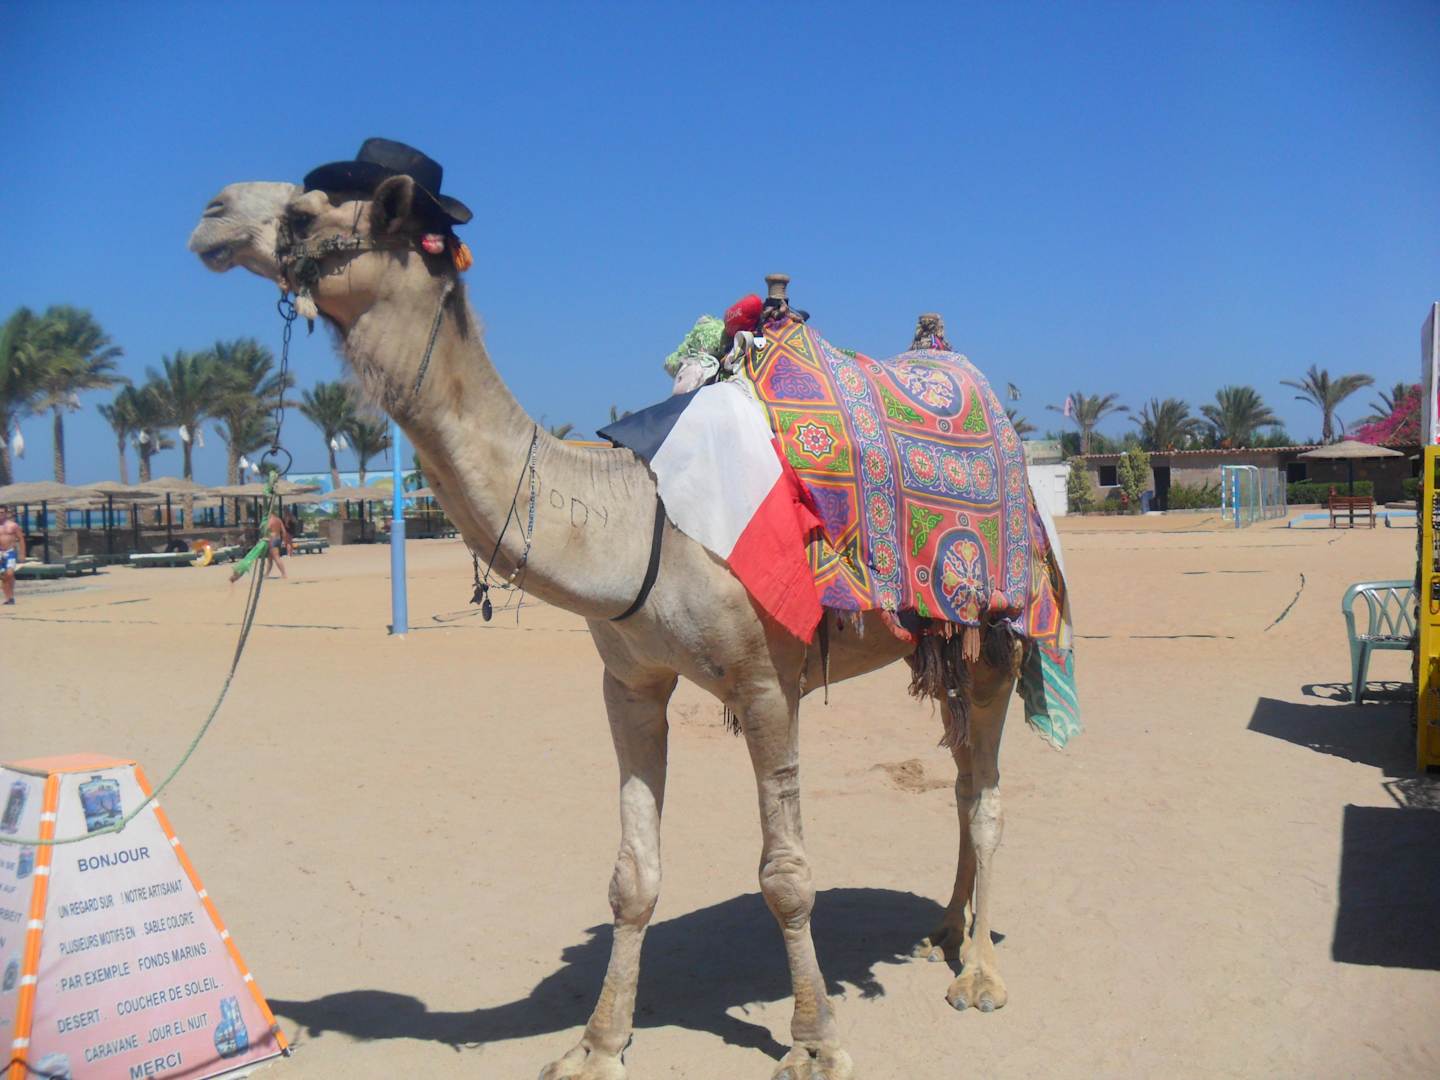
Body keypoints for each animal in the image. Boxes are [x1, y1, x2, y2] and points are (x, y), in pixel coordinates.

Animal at [189, 175, 1032, 1080]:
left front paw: (813, 1042)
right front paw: (597, 1044)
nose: (213, 211)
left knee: (986, 795)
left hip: (1005, 634)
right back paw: (943, 929)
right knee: (962, 773)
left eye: (309, 210)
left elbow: (786, 876)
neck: (644, 521)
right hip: (940, 643)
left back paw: (981, 974)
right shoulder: (630, 681)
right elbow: (633, 877)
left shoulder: (768, 683)